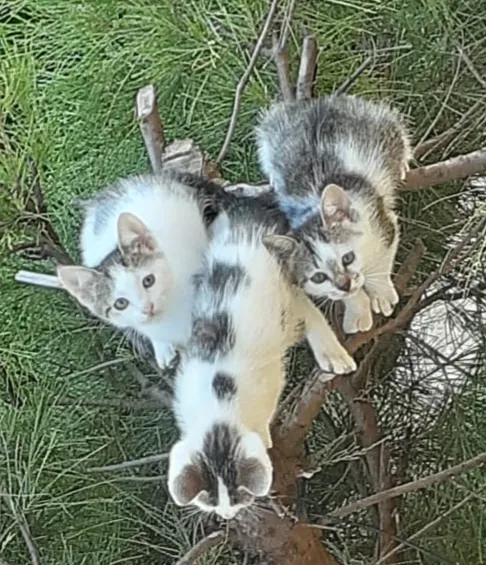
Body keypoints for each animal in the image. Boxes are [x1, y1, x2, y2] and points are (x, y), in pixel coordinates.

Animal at [167, 195, 354, 520]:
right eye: (211, 500)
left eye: (239, 495)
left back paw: (333, 354)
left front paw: (266, 438)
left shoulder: (270, 382)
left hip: (286, 277)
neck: (220, 406)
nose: (227, 516)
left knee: (302, 302)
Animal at [256, 95, 412, 334]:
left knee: (396, 131)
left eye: (348, 258)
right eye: (318, 277)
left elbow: (382, 259)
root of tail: (319, 101)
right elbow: (343, 295)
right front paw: (357, 310)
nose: (344, 284)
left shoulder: (382, 221)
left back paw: (402, 162)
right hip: (273, 130)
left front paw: (381, 293)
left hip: (378, 123)